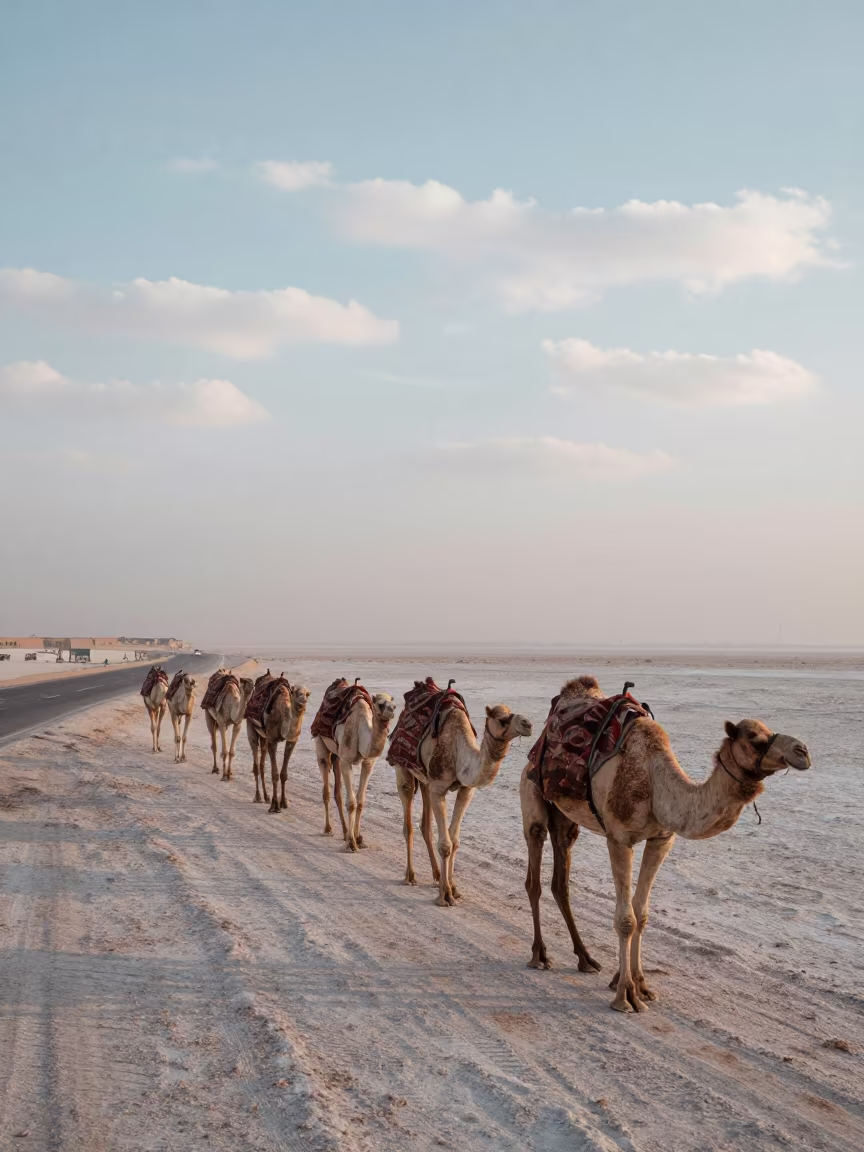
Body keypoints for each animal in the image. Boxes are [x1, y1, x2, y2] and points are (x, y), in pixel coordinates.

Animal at [246, 678, 310, 813]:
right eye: (294, 691)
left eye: (308, 694)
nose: (302, 701)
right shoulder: (272, 740)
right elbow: (274, 774)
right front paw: (275, 806)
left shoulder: (292, 740)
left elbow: (283, 774)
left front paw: (284, 802)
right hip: (251, 727)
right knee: (256, 763)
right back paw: (258, 797)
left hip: (264, 738)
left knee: (262, 764)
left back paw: (266, 797)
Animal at [314, 689, 396, 850]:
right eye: (380, 704)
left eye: (393, 703)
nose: (392, 710)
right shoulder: (346, 761)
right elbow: (351, 803)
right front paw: (352, 843)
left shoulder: (369, 763)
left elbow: (360, 801)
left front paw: (358, 838)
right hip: (321, 745)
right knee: (326, 789)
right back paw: (328, 829)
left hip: (337, 756)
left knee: (337, 792)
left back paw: (345, 831)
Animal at [393, 697, 532, 907]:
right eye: (501, 719)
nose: (528, 724)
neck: (459, 752)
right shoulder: (439, 788)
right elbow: (445, 845)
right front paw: (445, 896)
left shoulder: (466, 791)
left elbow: (455, 841)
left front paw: (453, 888)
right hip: (404, 771)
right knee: (408, 824)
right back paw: (410, 876)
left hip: (425, 782)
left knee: (426, 826)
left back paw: (436, 874)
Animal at [520, 675, 811, 1013]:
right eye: (753, 738)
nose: (803, 750)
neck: (657, 784)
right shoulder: (619, 838)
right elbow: (625, 919)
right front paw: (625, 996)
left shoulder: (661, 839)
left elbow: (641, 913)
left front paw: (640, 985)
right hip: (532, 798)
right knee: (534, 878)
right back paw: (539, 955)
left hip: (566, 819)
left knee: (560, 883)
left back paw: (586, 959)